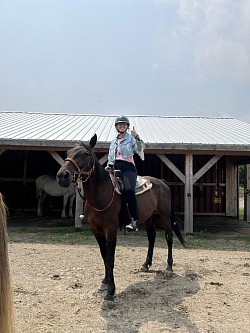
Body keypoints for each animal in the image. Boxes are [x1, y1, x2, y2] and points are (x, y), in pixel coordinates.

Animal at [57, 134, 186, 304]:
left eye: (85, 154)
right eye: (68, 152)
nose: (62, 176)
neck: (101, 194)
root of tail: (162, 183)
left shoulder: (111, 229)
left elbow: (110, 258)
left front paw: (111, 292)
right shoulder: (96, 229)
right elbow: (104, 255)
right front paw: (105, 281)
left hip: (164, 214)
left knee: (169, 236)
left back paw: (169, 268)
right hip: (147, 217)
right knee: (151, 236)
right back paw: (146, 265)